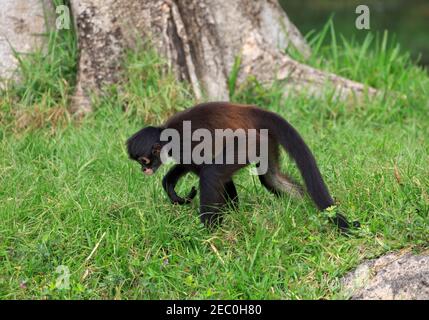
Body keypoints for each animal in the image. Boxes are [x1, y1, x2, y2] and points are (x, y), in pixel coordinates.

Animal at [126, 102, 358, 232]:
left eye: (144, 160)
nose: (143, 170)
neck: (165, 135)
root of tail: (253, 111)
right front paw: (171, 187)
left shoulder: (183, 146)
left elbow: (208, 171)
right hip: (264, 140)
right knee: (270, 177)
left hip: (249, 142)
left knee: (212, 174)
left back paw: (207, 231)